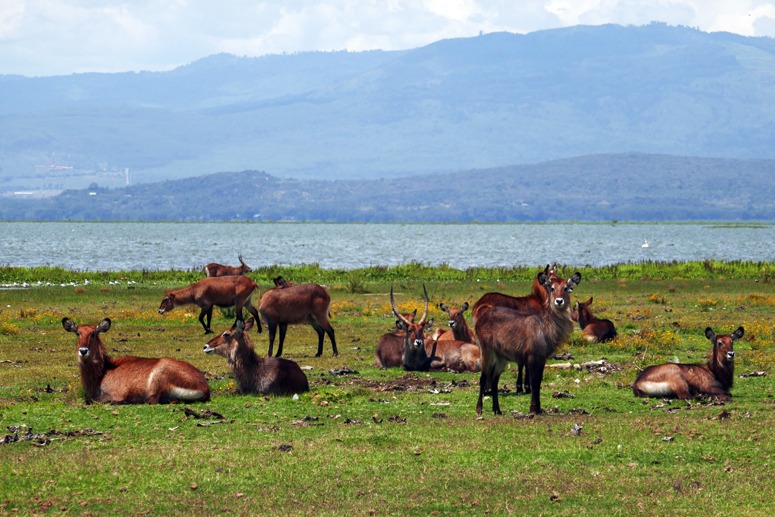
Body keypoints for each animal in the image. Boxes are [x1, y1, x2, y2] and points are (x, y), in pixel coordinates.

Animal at [62, 316, 211, 406]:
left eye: (93, 333)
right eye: (78, 333)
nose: (83, 350)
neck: (103, 372)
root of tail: (205, 386)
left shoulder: (115, 395)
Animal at [472, 264, 556, 394]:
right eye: (553, 279)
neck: (539, 301)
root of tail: (481, 304)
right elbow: (524, 363)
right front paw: (525, 387)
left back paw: (487, 389)